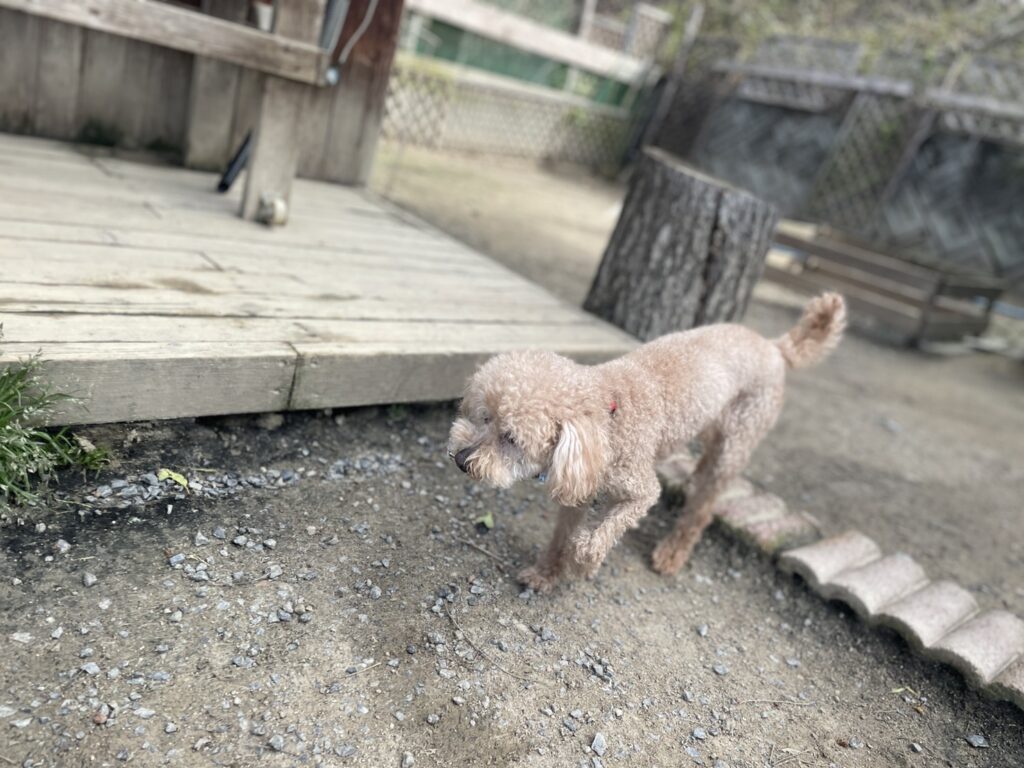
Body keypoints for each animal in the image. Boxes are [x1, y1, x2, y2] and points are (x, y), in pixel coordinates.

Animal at [448, 293, 846, 592]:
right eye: (485, 417)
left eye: (511, 438)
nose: (461, 460)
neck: (606, 420)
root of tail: (775, 347)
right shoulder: (579, 488)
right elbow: (561, 536)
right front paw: (546, 573)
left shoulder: (640, 491)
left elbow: (595, 539)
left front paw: (582, 567)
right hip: (713, 423)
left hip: (739, 438)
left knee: (703, 508)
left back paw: (672, 552)